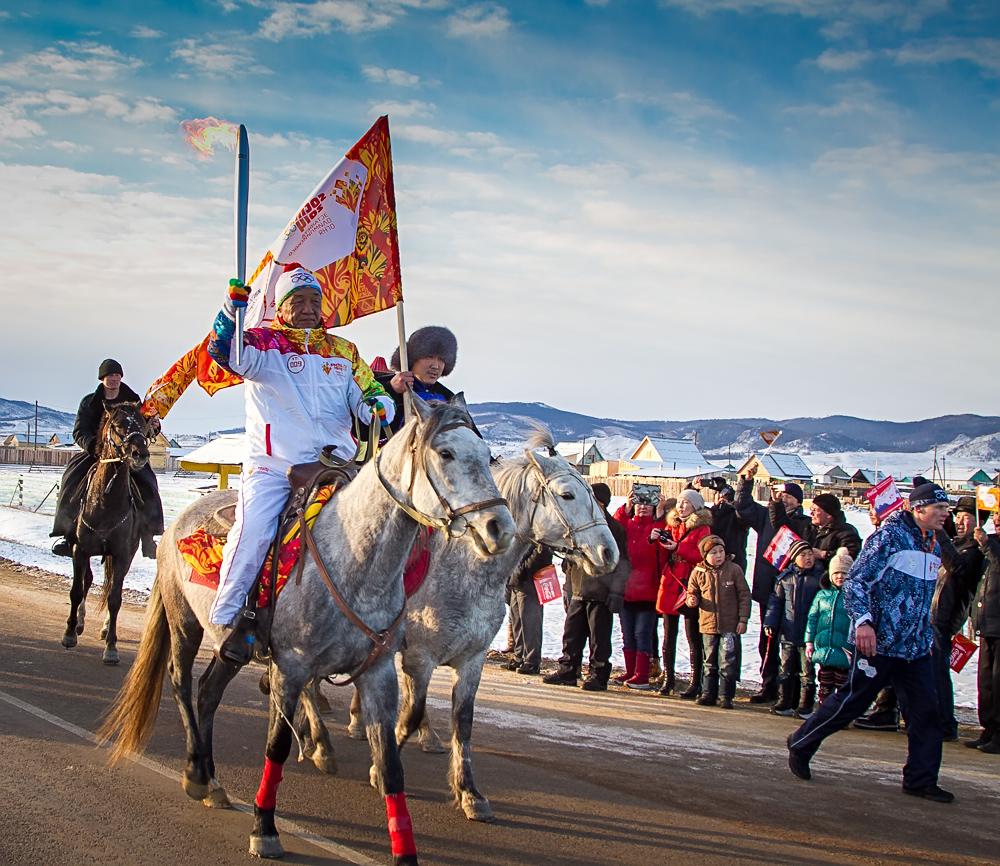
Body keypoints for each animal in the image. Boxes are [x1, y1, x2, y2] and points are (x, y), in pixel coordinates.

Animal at [60, 402, 153, 664]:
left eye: (143, 424)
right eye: (118, 425)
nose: (140, 454)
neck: (106, 503)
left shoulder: (122, 554)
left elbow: (114, 598)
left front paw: (111, 647)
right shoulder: (79, 550)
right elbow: (76, 590)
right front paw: (70, 632)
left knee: (109, 584)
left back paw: (103, 628)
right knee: (87, 580)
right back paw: (79, 623)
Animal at [100, 394, 516, 860]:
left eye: (487, 454)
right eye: (445, 454)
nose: (501, 529)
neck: (355, 562)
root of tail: (178, 521)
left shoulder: (380, 673)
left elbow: (391, 762)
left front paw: (406, 846)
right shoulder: (291, 669)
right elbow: (278, 746)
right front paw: (265, 828)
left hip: (230, 647)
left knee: (208, 693)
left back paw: (211, 781)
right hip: (185, 623)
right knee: (180, 682)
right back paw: (194, 773)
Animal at [328, 428, 616, 820]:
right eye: (567, 494)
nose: (609, 553)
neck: (466, 570)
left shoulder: (471, 660)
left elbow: (461, 722)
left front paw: (469, 793)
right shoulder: (420, 656)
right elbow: (411, 713)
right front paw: (381, 769)